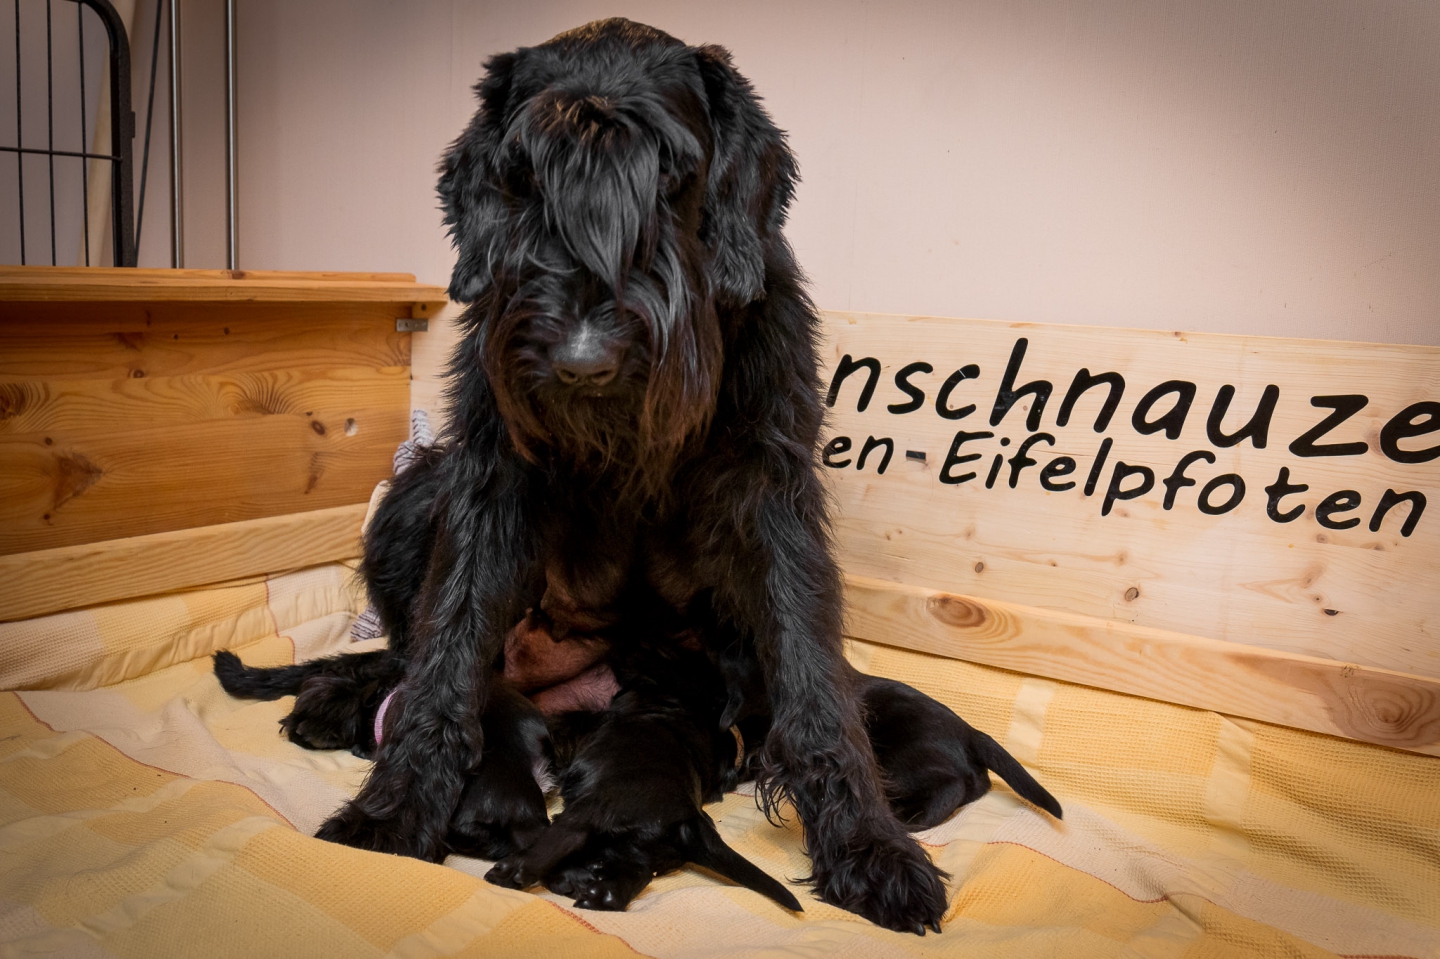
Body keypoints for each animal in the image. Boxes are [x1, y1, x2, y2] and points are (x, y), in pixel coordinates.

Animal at [227, 18, 946, 933]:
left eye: (671, 171)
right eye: (525, 173)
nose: (581, 359)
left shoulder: (771, 496)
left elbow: (815, 679)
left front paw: (867, 845)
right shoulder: (489, 482)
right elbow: (445, 651)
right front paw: (394, 808)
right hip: (416, 495)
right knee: (402, 652)